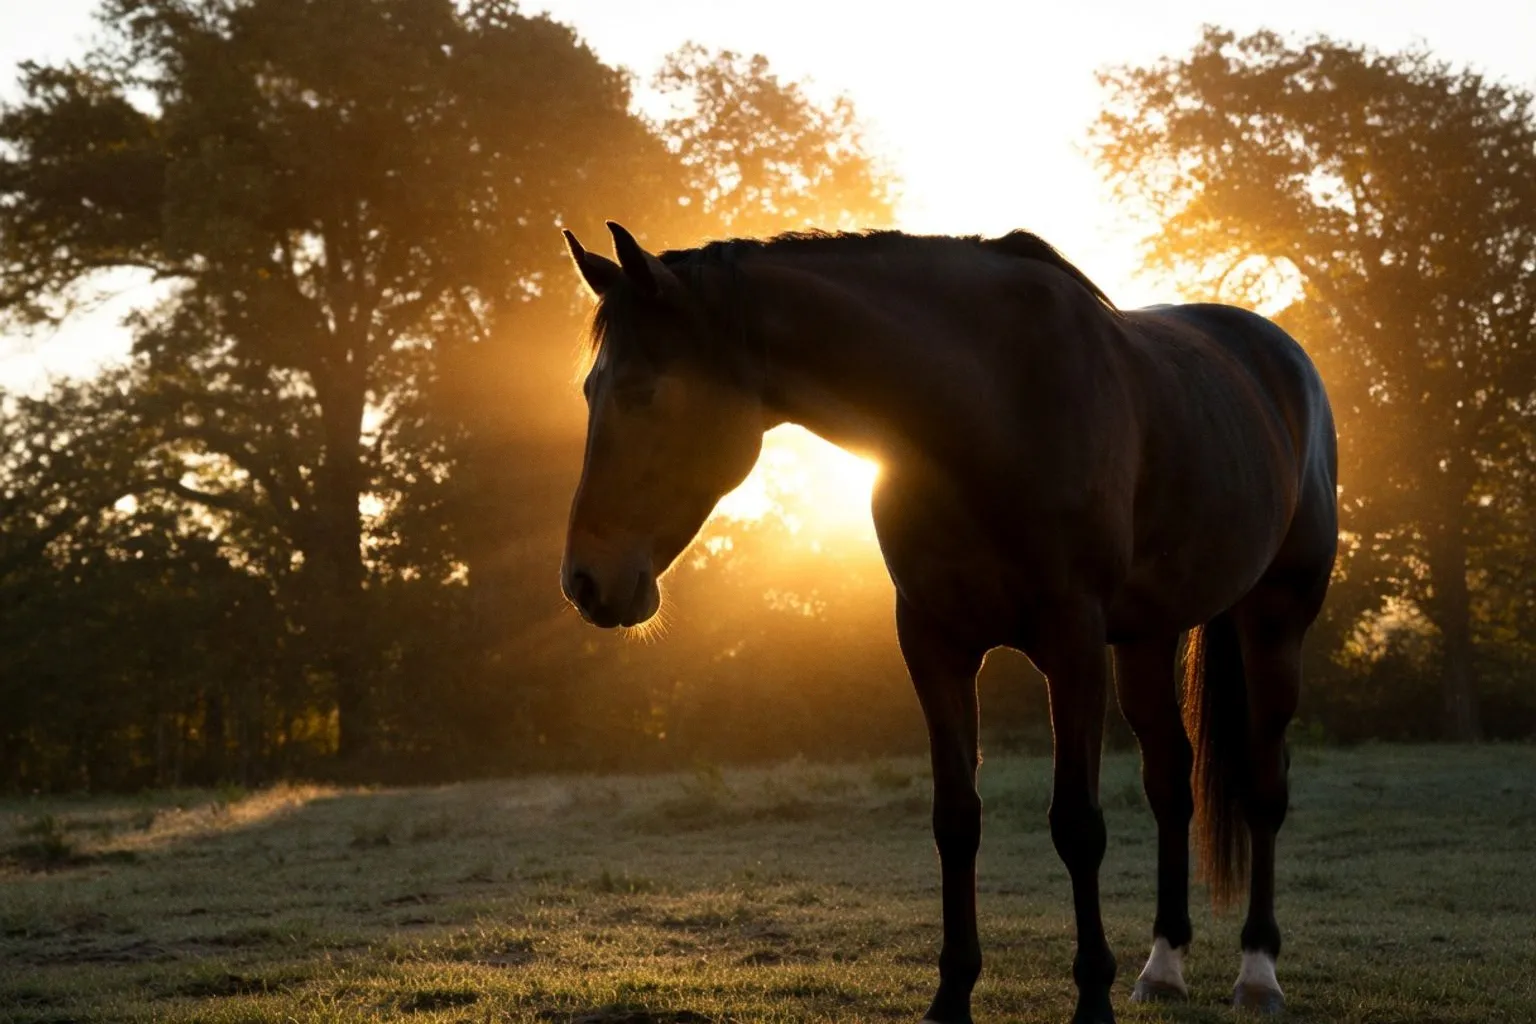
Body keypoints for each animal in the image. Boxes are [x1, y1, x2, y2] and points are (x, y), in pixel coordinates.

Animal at [557, 221, 1338, 1024]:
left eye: (643, 392)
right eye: (590, 389)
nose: (585, 581)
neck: (993, 408)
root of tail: (1284, 357)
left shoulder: (1073, 643)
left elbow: (1077, 825)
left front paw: (1092, 998)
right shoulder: (935, 642)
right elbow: (956, 819)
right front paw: (952, 995)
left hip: (1274, 621)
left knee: (1263, 784)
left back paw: (1258, 971)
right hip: (1147, 639)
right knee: (1171, 783)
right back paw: (1164, 964)